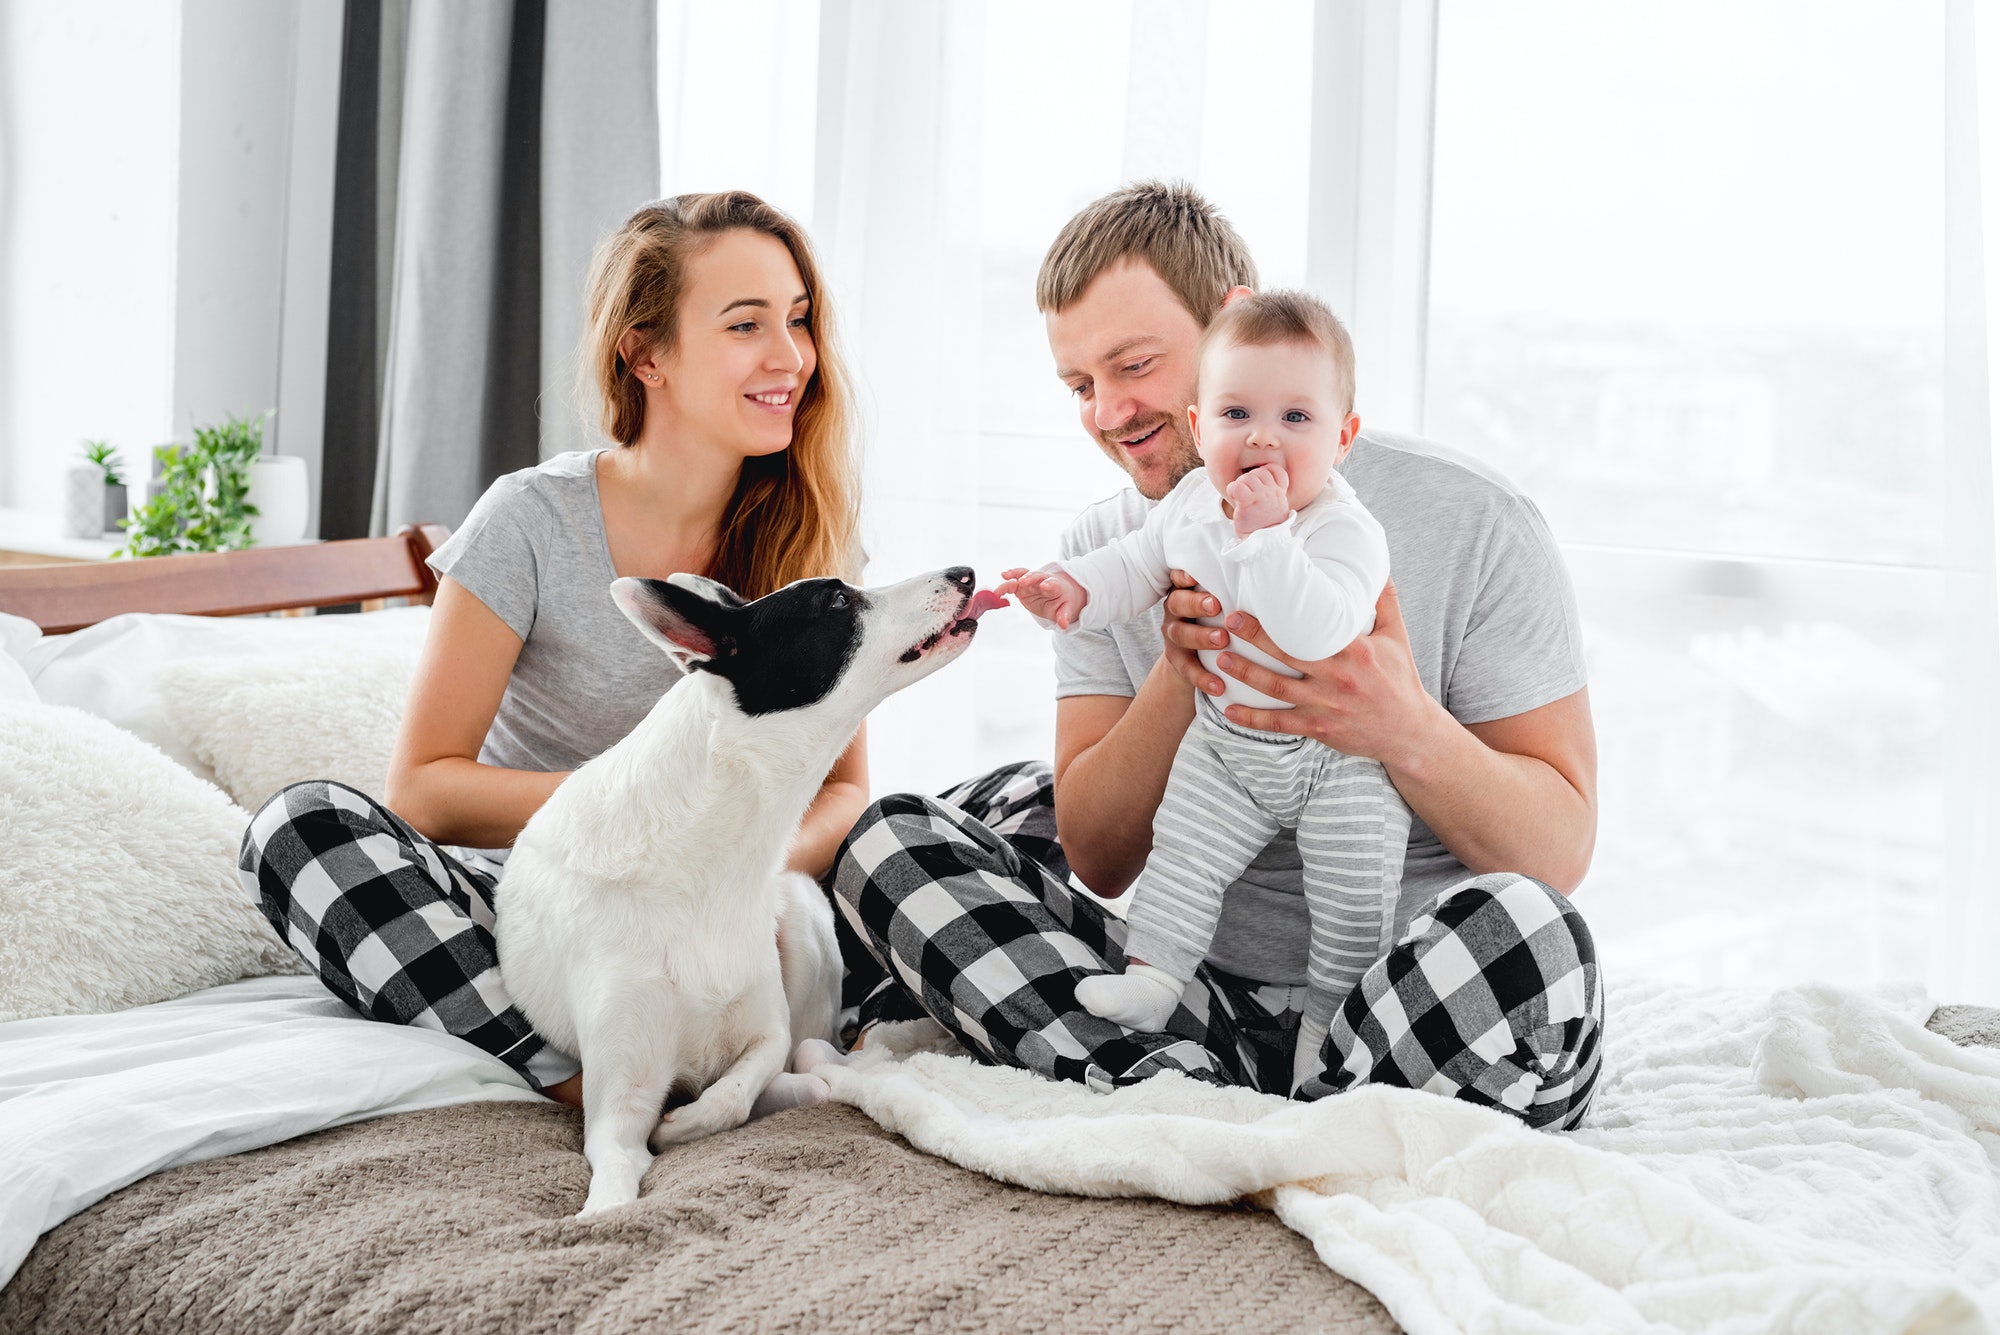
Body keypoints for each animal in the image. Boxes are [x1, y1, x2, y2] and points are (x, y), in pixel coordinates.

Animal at [496, 567, 1000, 1215]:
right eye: (838, 600)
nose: (965, 572)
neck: (702, 862)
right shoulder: (616, 1111)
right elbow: (614, 1184)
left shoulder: (764, 1028)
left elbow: (740, 1086)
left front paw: (688, 1121)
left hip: (802, 921)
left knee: (811, 1052)